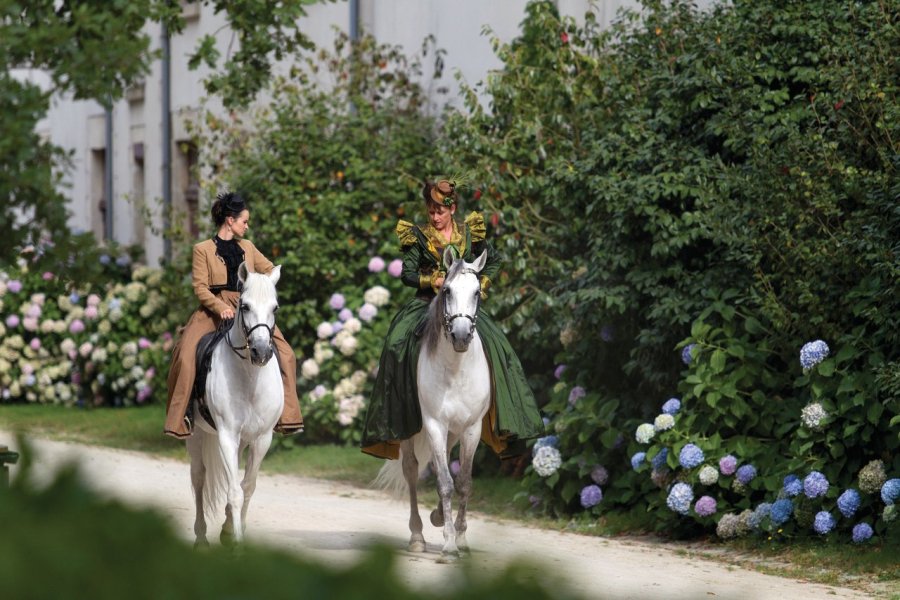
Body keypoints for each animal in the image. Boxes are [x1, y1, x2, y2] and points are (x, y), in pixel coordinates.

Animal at [184, 260, 280, 548]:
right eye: (244, 306)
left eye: (275, 308)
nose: (261, 352)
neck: (250, 377)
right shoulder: (226, 436)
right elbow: (234, 491)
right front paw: (236, 543)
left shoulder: (261, 439)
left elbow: (247, 486)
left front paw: (232, 532)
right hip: (197, 436)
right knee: (199, 478)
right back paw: (201, 537)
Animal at [378, 247, 496, 564]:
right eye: (447, 290)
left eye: (477, 292)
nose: (461, 335)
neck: (455, 369)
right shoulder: (434, 425)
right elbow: (444, 482)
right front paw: (449, 546)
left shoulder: (471, 429)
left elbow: (464, 482)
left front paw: (462, 539)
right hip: (412, 431)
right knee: (412, 470)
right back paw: (418, 536)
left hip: (453, 432)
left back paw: (438, 518)